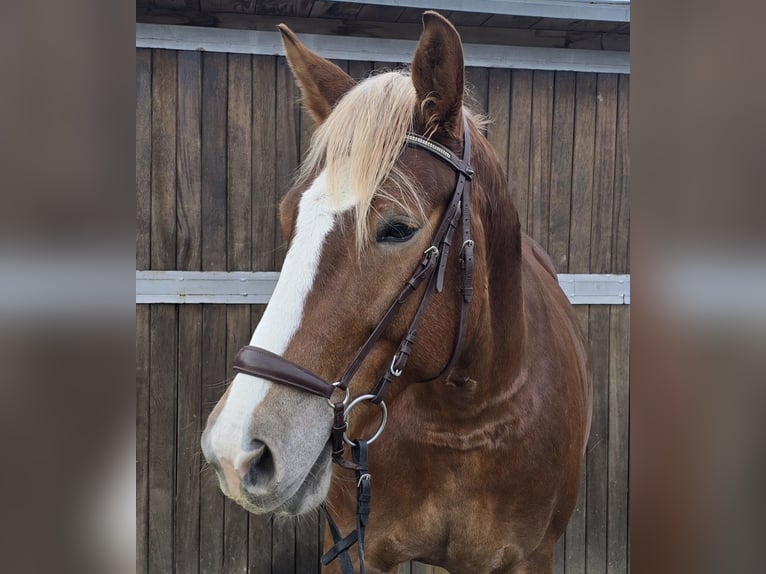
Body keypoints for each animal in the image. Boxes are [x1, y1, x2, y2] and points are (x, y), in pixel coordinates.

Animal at [201, 10, 592, 574]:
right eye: (288, 217)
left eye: (398, 228)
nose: (236, 451)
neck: (464, 420)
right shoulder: (353, 551)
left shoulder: (529, 558)